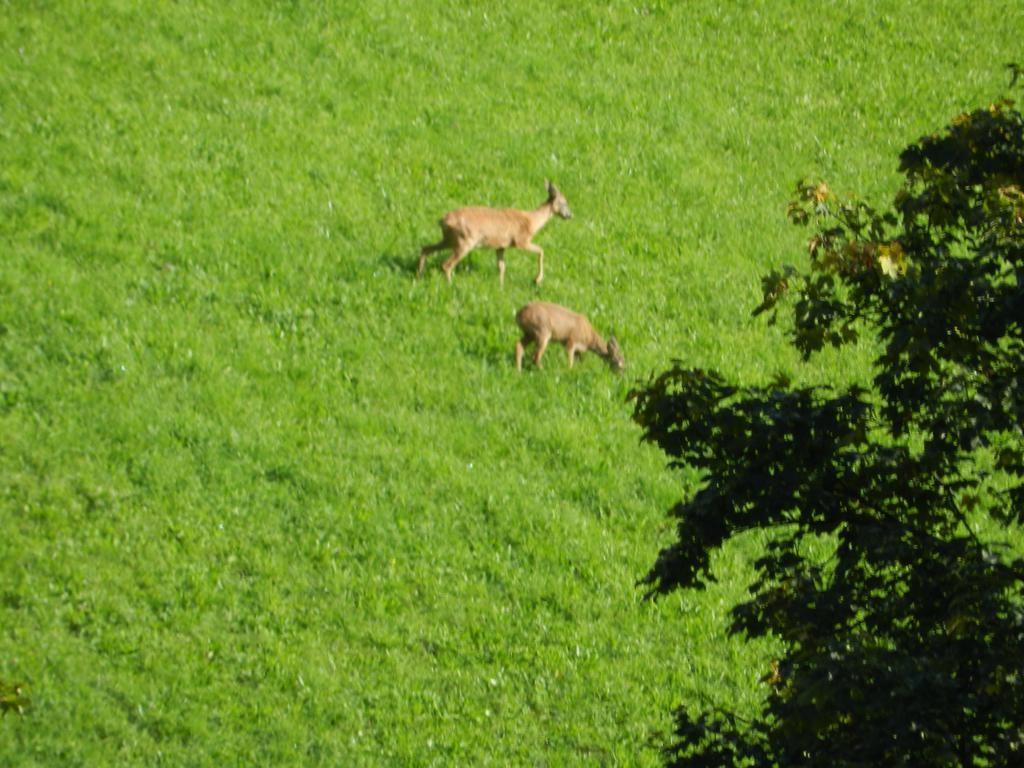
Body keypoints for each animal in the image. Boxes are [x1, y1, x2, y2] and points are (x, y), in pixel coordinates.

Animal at [417, 180, 577, 286]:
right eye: (564, 202)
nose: (570, 215)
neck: (531, 221)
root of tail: (443, 221)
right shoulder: (521, 240)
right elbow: (541, 251)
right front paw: (537, 279)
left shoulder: (501, 246)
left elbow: (501, 267)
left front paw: (500, 287)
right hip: (464, 241)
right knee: (446, 264)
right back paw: (450, 286)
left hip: (450, 239)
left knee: (426, 248)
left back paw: (419, 274)